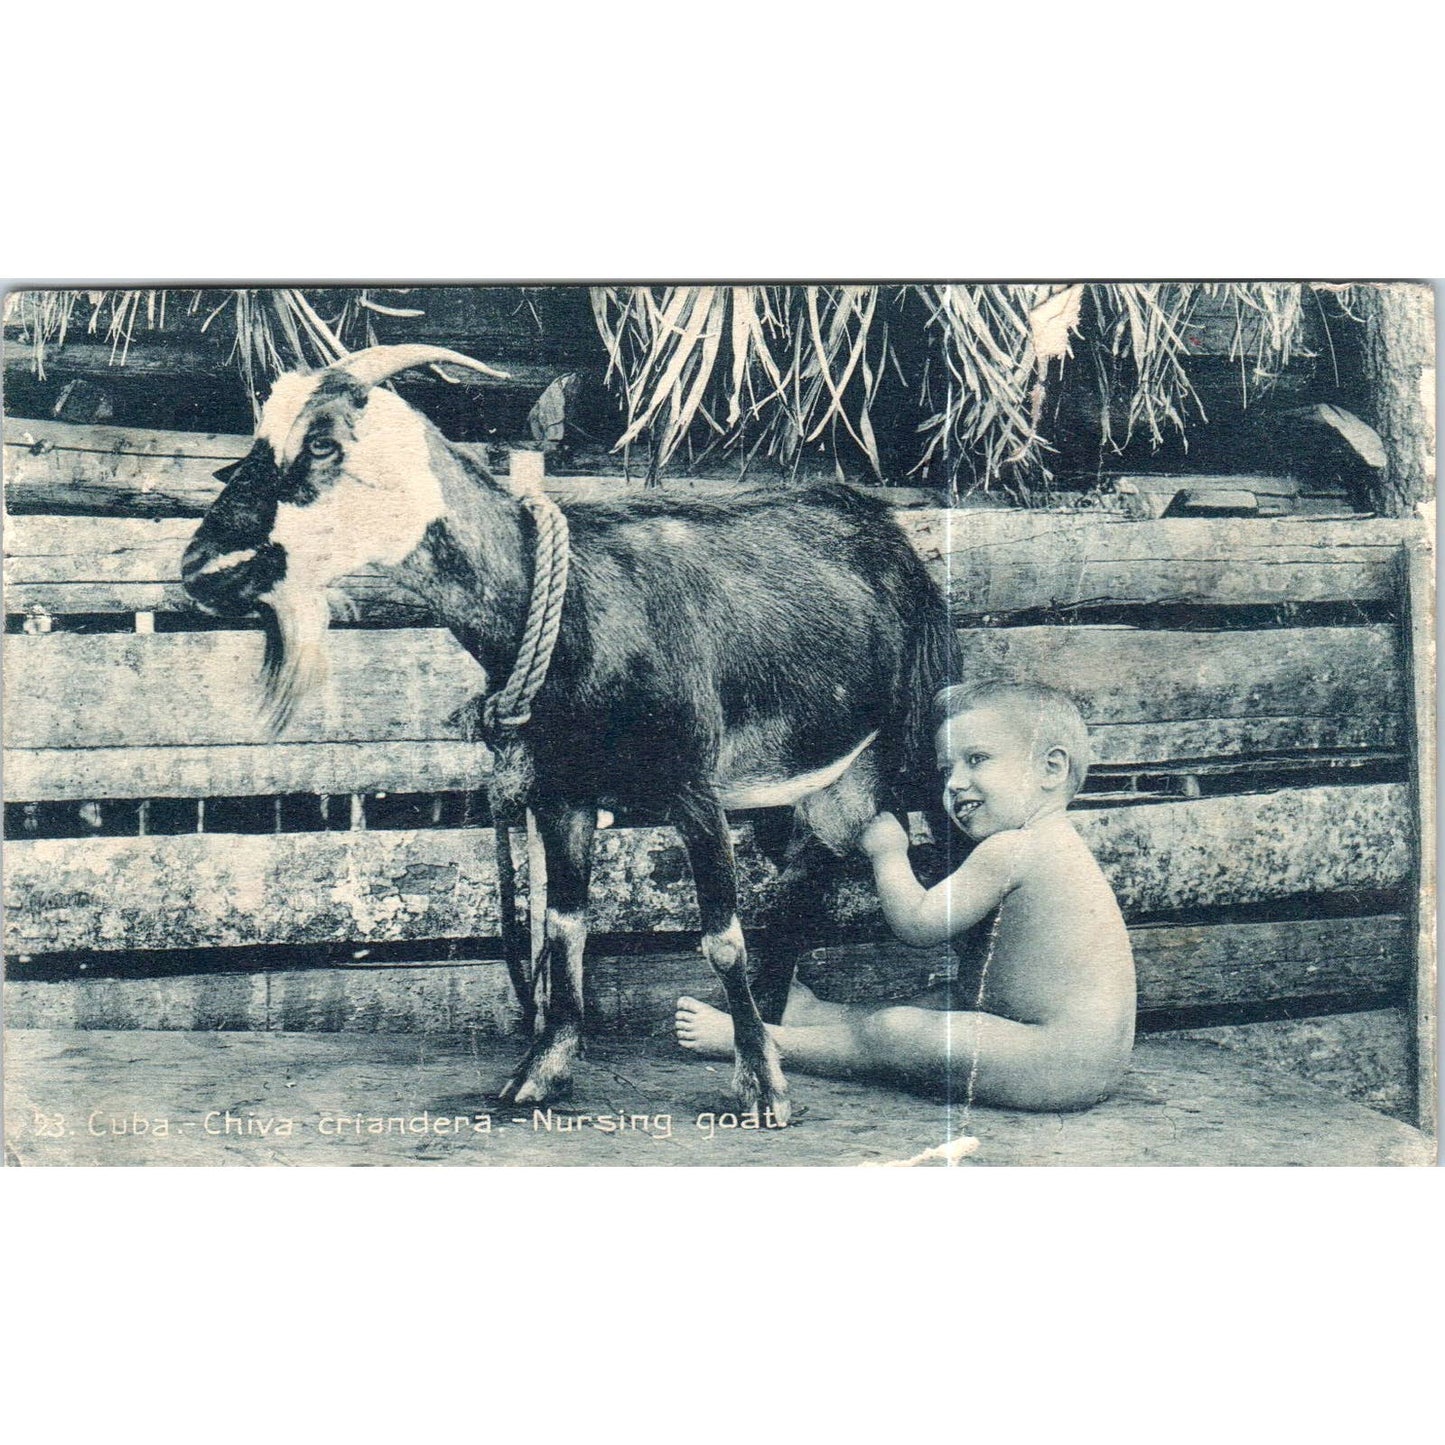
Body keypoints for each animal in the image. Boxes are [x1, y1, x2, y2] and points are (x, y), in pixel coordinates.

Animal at [181, 345, 959, 1124]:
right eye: (255, 443)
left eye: (322, 443)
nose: (199, 567)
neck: (574, 607)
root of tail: (881, 526)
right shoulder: (563, 793)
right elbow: (563, 926)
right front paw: (542, 1070)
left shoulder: (693, 787)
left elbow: (721, 938)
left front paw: (761, 1088)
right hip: (808, 778)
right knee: (809, 869)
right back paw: (770, 1015)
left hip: (912, 738)